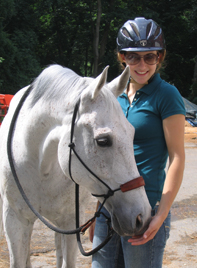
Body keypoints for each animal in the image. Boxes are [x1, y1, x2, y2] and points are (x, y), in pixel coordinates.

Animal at [0, 65, 151, 268]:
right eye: (103, 141)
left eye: (132, 132)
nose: (142, 217)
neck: (41, 167)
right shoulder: (15, 220)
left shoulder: (70, 221)